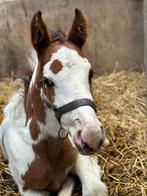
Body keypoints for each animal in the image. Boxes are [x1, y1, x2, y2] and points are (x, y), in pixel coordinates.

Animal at [0, 8, 108, 195]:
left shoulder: (80, 158)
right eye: (47, 81)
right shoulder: (29, 189)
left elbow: (95, 188)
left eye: (90, 73)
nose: (92, 137)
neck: (45, 151)